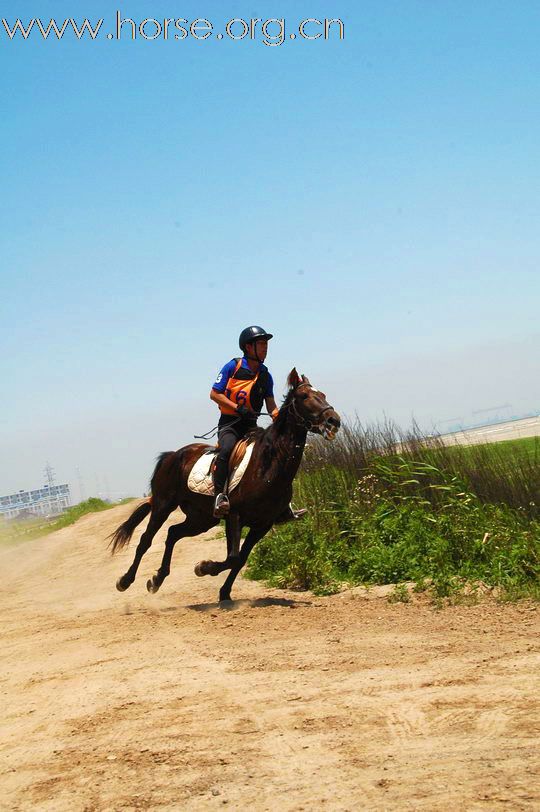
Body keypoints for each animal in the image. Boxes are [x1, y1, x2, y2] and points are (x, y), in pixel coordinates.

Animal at [107, 370, 340, 604]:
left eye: (323, 394)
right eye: (304, 397)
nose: (334, 421)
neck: (268, 466)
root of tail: (173, 455)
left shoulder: (262, 525)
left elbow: (240, 559)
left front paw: (224, 592)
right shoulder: (234, 516)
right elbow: (233, 557)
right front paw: (203, 568)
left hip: (202, 518)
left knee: (173, 533)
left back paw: (157, 579)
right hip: (164, 505)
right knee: (146, 540)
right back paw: (125, 581)